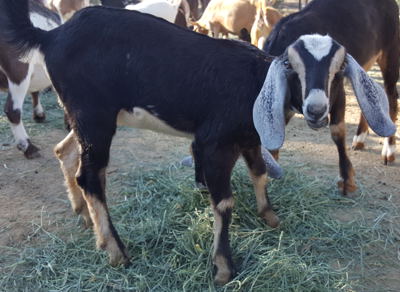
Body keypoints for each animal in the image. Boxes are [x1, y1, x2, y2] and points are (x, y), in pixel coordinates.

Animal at [264, 0, 398, 195]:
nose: (316, 111)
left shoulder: (337, 89)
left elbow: (337, 131)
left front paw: (346, 181)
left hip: (390, 53)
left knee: (391, 95)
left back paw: (389, 151)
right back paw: (359, 140)